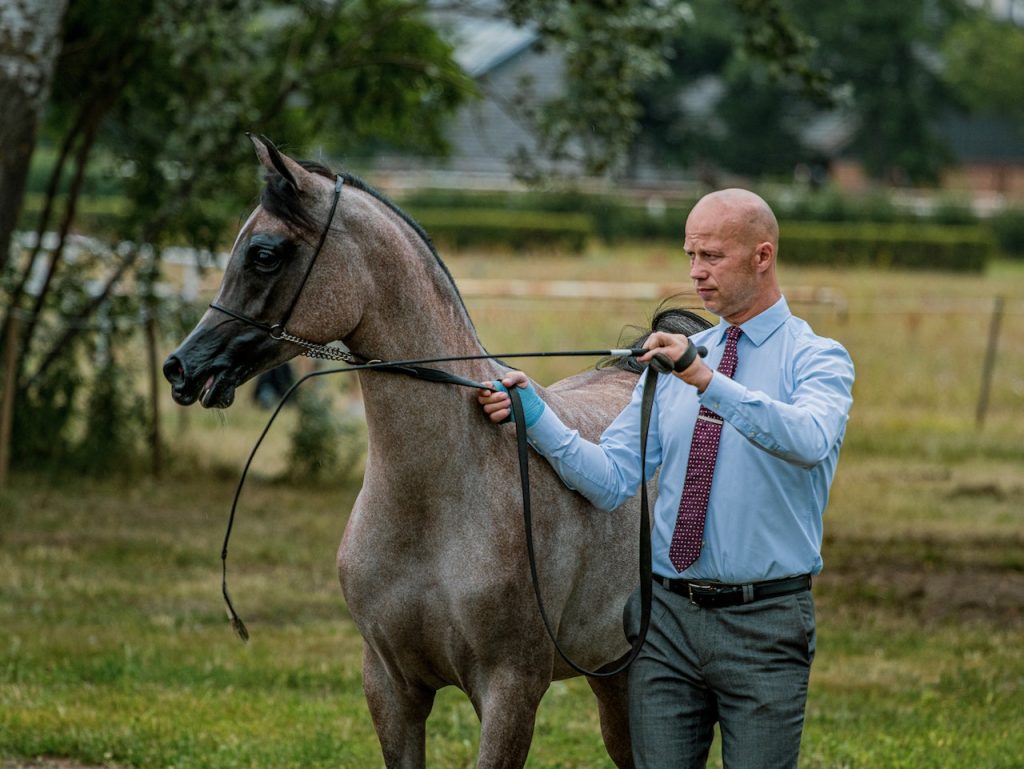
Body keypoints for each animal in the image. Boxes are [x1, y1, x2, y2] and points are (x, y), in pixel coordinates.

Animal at [165, 137, 712, 769]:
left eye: (264, 254)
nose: (183, 367)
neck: (437, 502)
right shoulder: (391, 687)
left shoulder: (510, 692)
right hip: (613, 675)